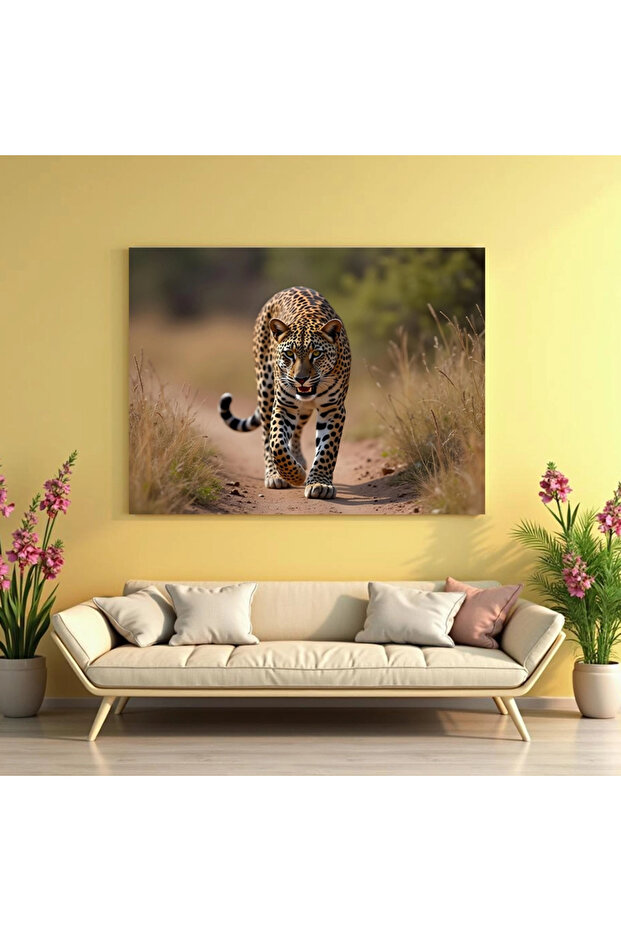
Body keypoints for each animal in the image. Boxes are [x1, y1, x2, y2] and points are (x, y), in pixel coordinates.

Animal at [219, 286, 350, 499]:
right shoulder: (284, 406)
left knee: (297, 431)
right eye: (290, 354)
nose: (300, 379)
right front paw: (295, 475)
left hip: (303, 409)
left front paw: (319, 483)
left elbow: (327, 448)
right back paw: (275, 474)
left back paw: (298, 459)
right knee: (266, 435)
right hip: (265, 389)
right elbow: (277, 444)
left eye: (316, 354)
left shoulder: (333, 409)